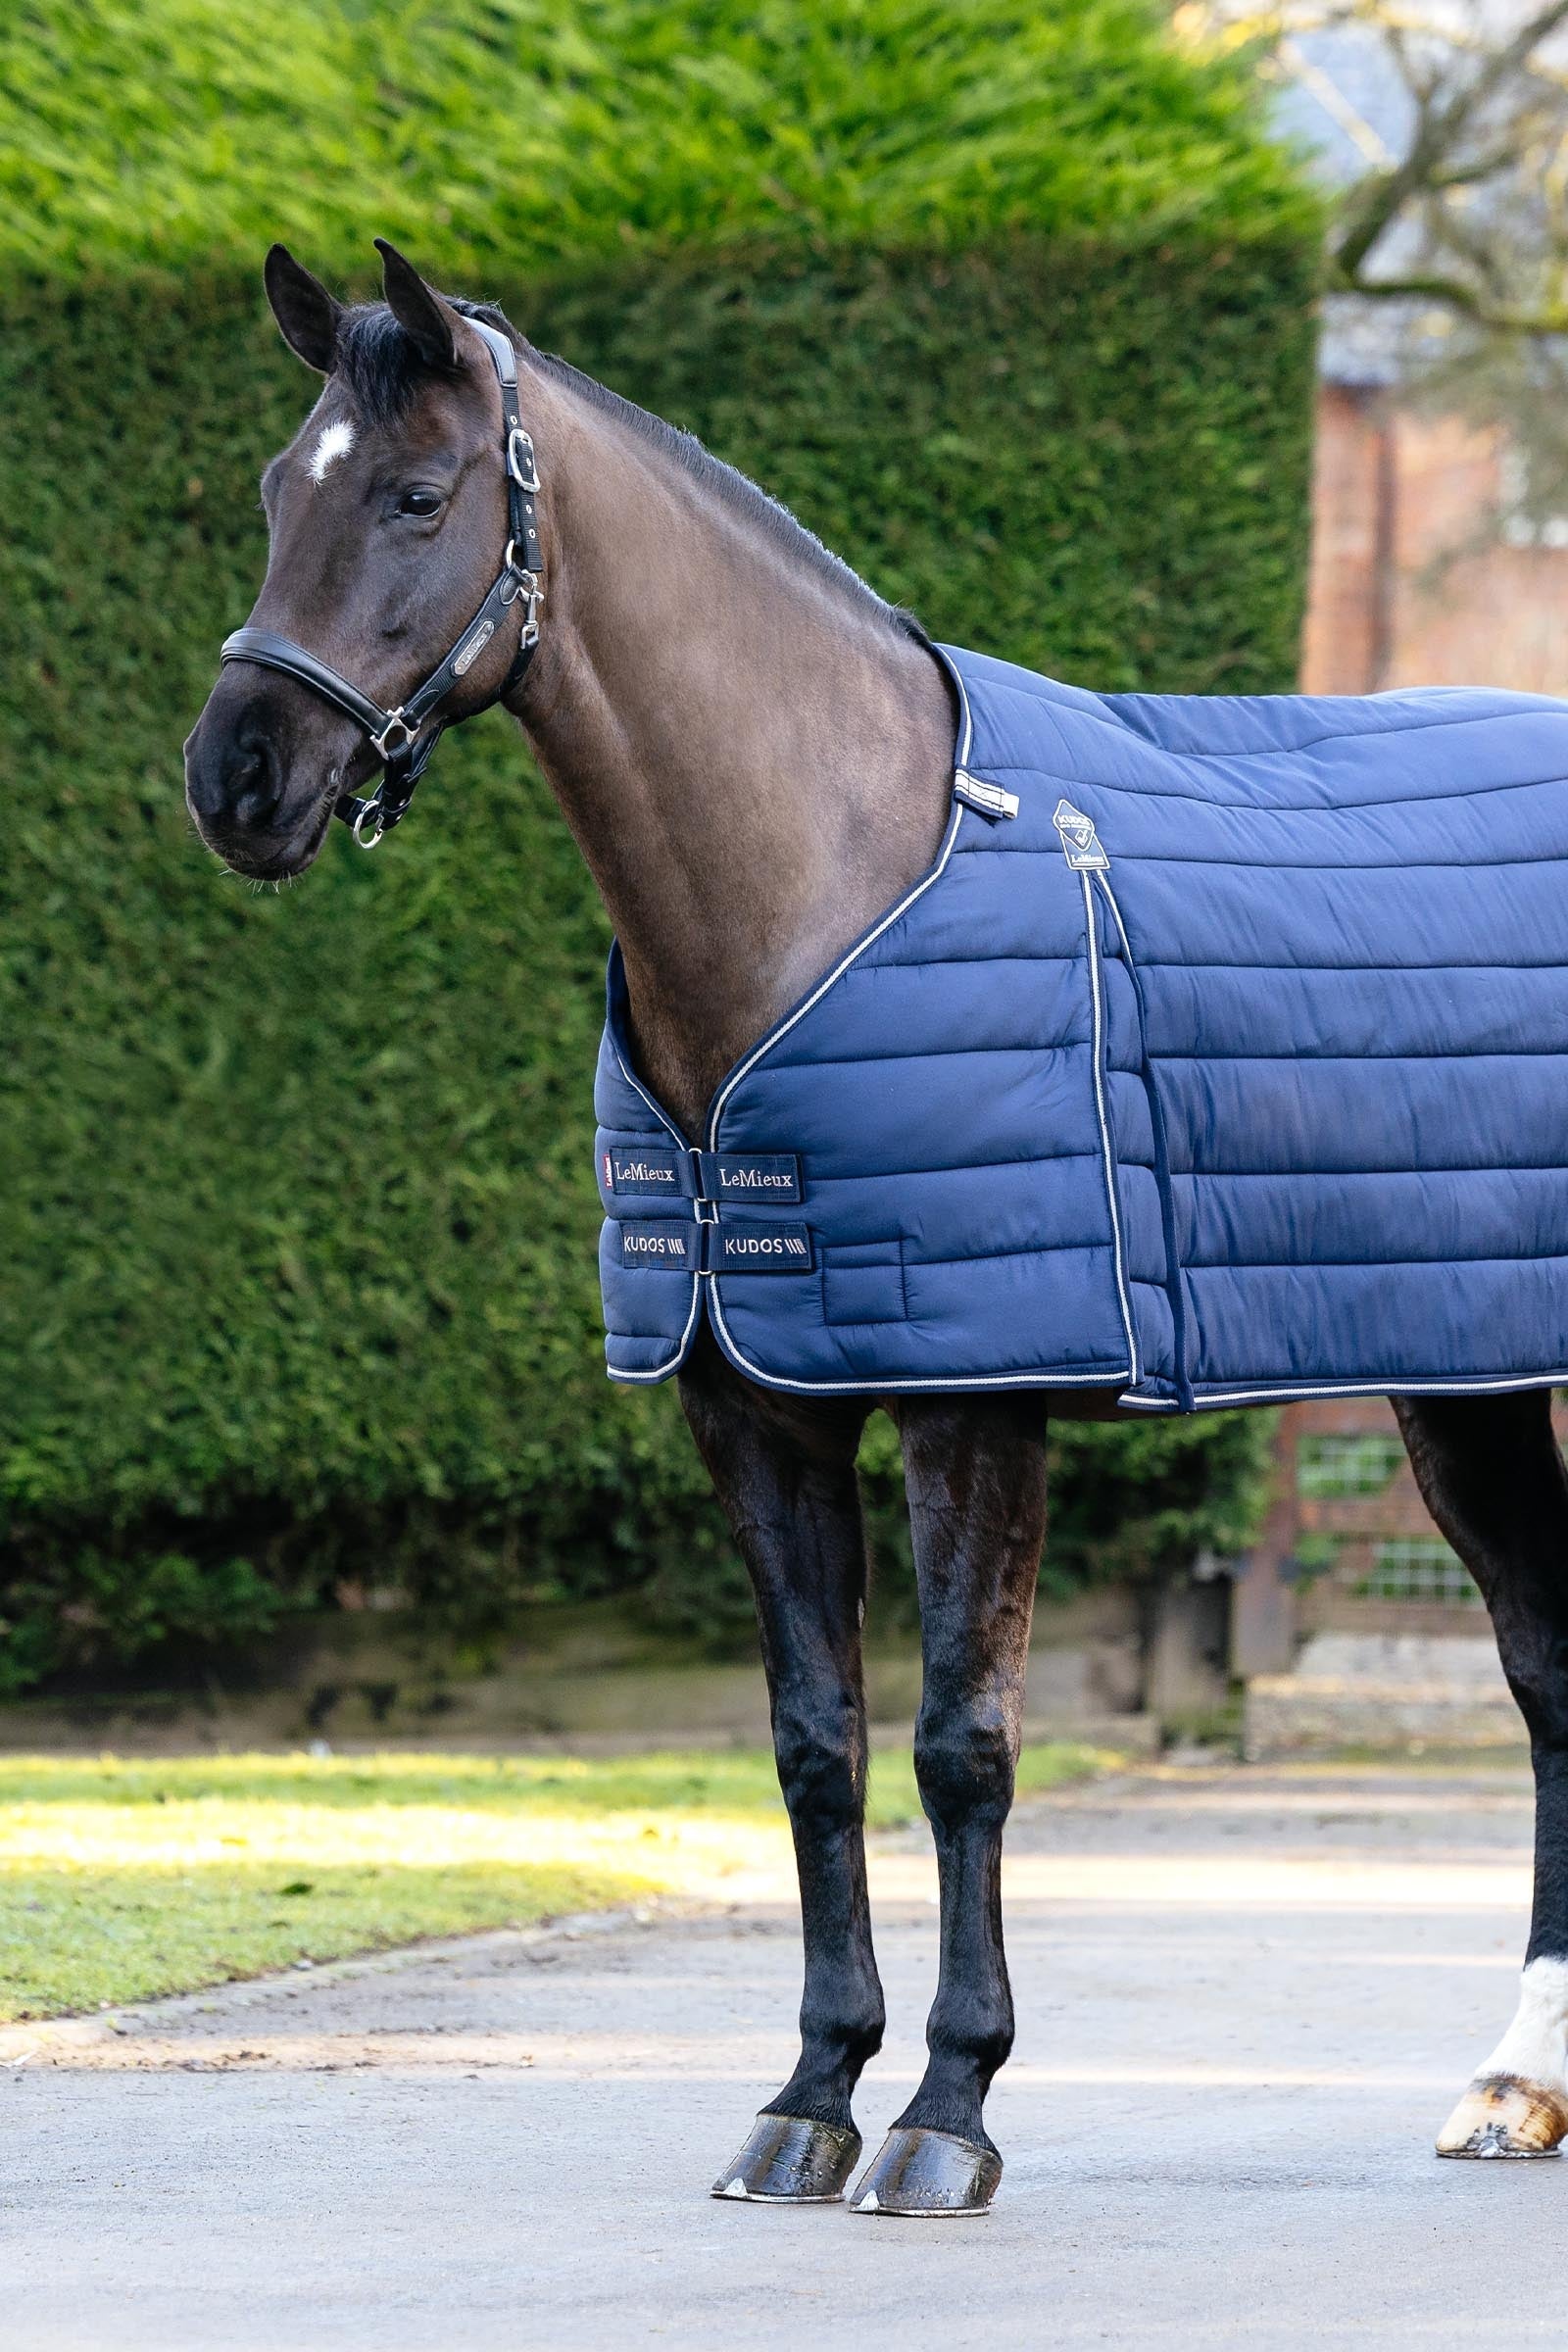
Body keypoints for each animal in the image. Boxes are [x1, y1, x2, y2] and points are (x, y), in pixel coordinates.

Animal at [185, 240, 1568, 2213]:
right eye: (269, 494)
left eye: (418, 496)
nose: (236, 779)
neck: (827, 872)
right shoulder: (754, 1401)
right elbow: (816, 1746)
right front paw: (812, 2093)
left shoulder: (977, 1398)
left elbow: (962, 1747)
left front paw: (948, 2109)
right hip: (1461, 1383)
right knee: (1546, 1668)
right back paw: (1521, 2084)